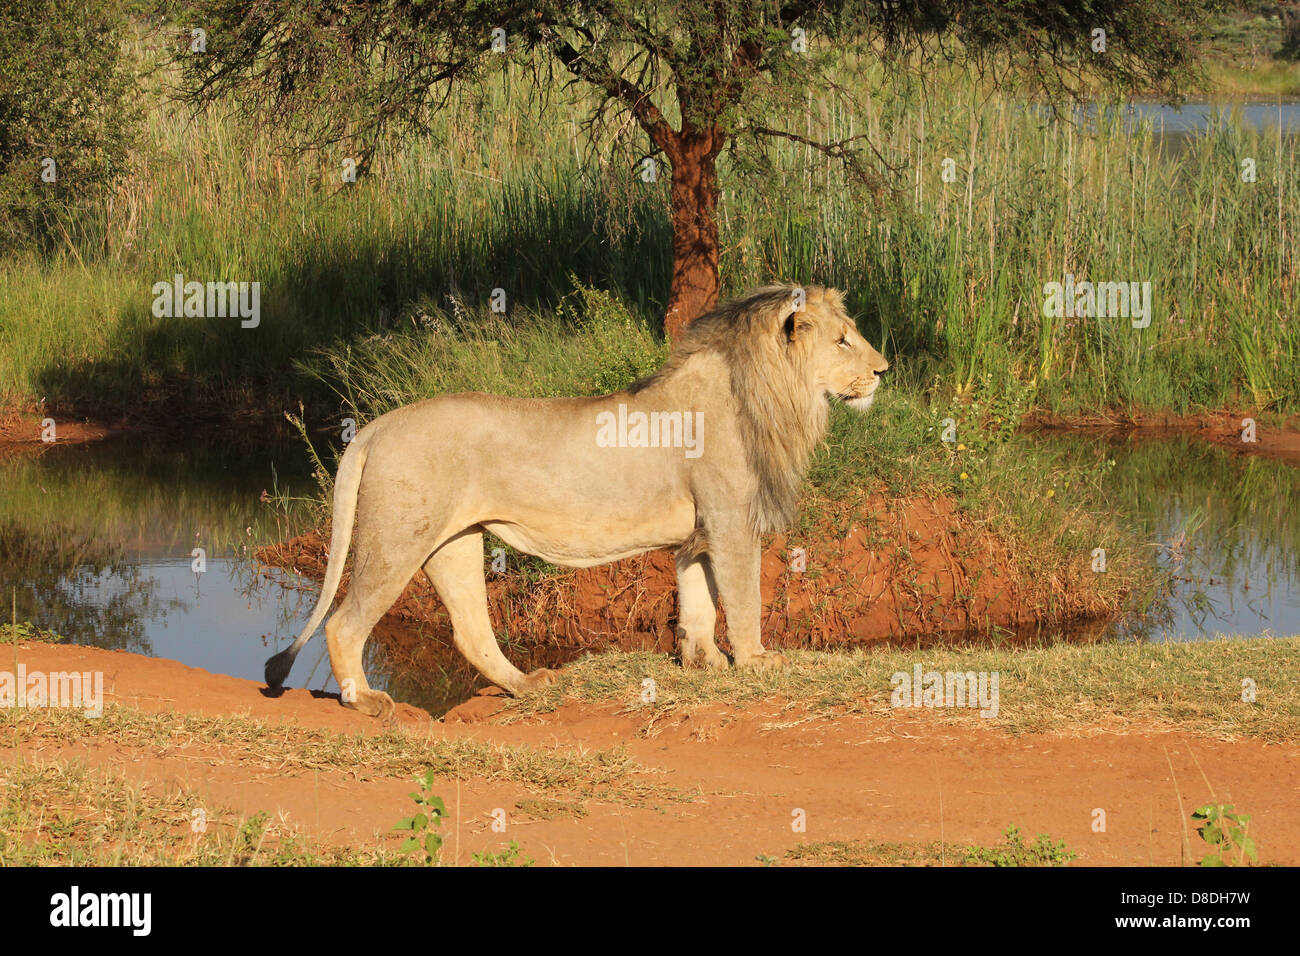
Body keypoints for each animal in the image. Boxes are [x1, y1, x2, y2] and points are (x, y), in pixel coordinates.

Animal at [263, 283, 894, 717]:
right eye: (843, 340)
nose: (884, 371)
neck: (773, 393)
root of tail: (375, 427)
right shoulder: (731, 522)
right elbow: (743, 598)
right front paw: (757, 661)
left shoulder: (699, 534)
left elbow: (698, 601)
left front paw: (705, 663)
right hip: (397, 539)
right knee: (344, 622)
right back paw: (365, 701)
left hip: (454, 541)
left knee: (470, 629)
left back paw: (526, 685)